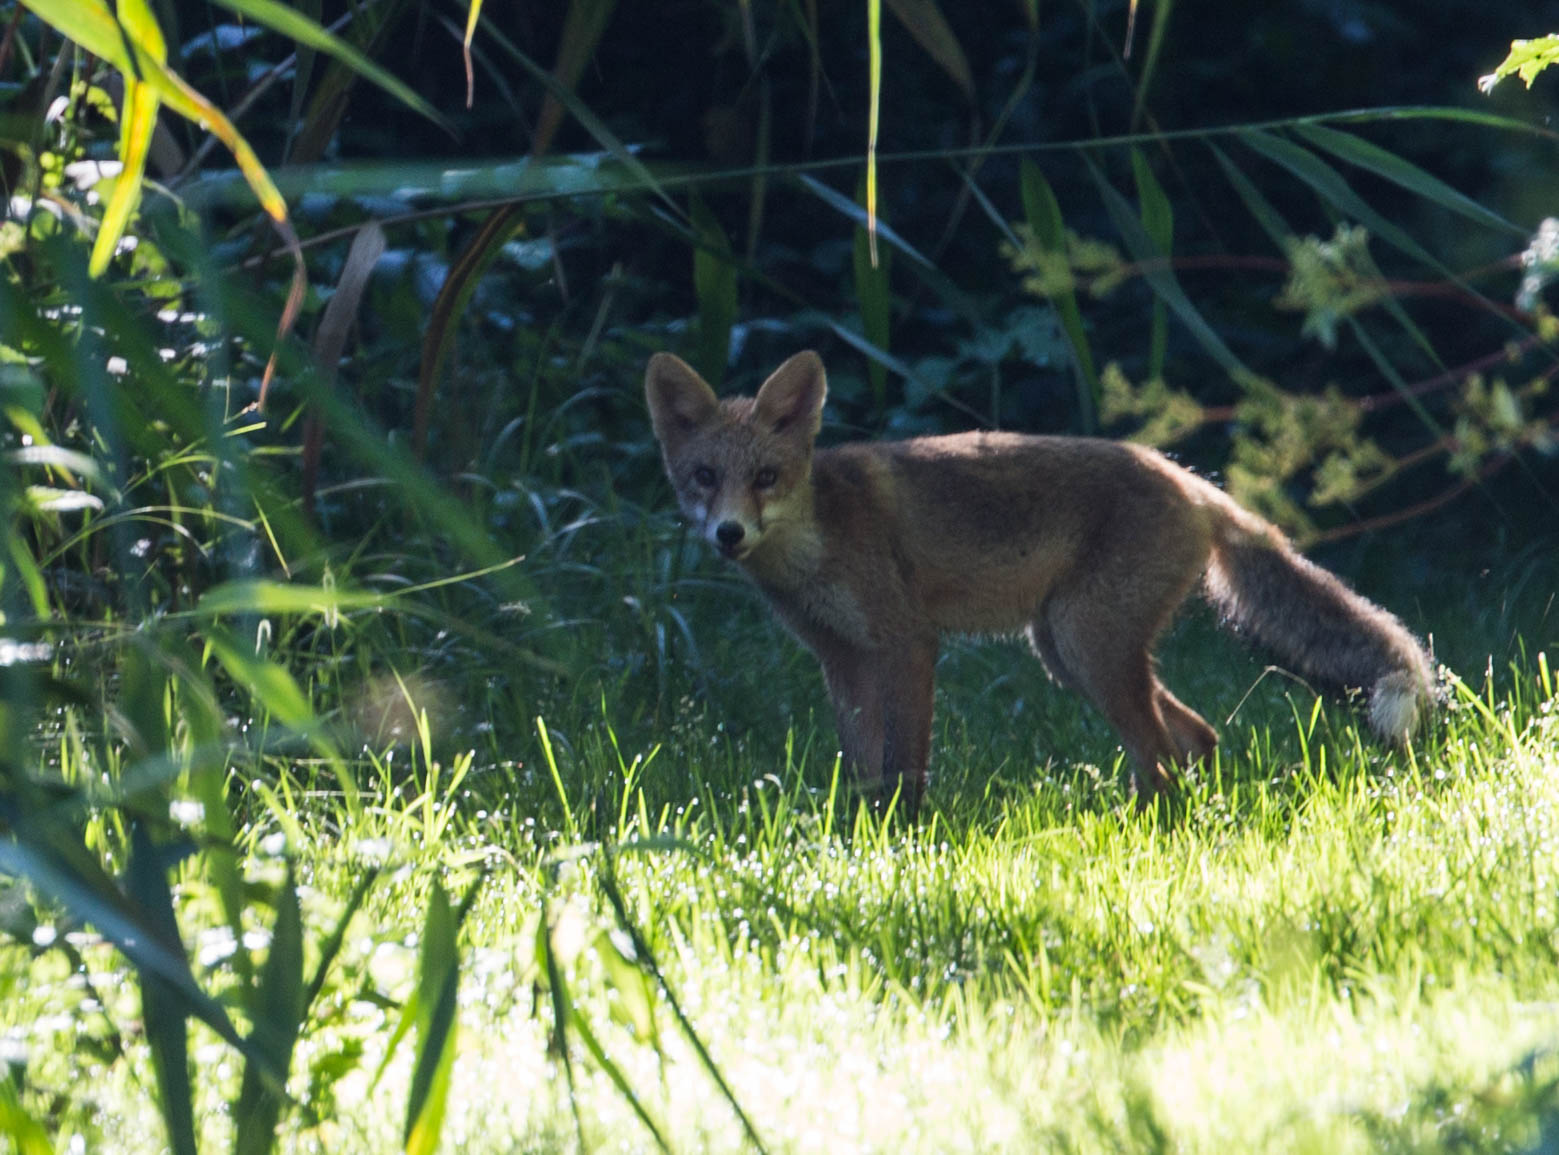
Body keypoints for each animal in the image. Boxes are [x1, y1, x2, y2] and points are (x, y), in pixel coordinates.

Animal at [645, 349, 1435, 812]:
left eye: (765, 478)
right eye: (704, 477)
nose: (728, 534)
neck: (818, 539)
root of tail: (1187, 478)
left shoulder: (907, 642)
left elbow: (905, 765)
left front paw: (906, 838)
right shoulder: (842, 658)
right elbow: (865, 766)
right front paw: (863, 838)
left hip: (1085, 645)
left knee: (1159, 753)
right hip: (1064, 651)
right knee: (1194, 738)